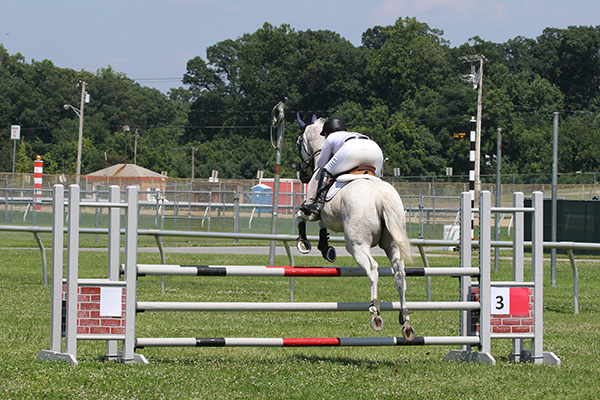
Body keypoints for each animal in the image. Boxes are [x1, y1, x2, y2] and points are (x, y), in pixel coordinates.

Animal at [296, 113, 418, 340]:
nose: (302, 174)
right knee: (399, 273)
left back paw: (375, 312)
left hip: (356, 244)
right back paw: (405, 319)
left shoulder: (313, 208)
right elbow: (323, 226)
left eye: (299, 142)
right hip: (392, 243)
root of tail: (380, 196)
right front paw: (326, 249)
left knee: (373, 268)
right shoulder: (329, 216)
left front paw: (304, 243)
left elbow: (301, 215)